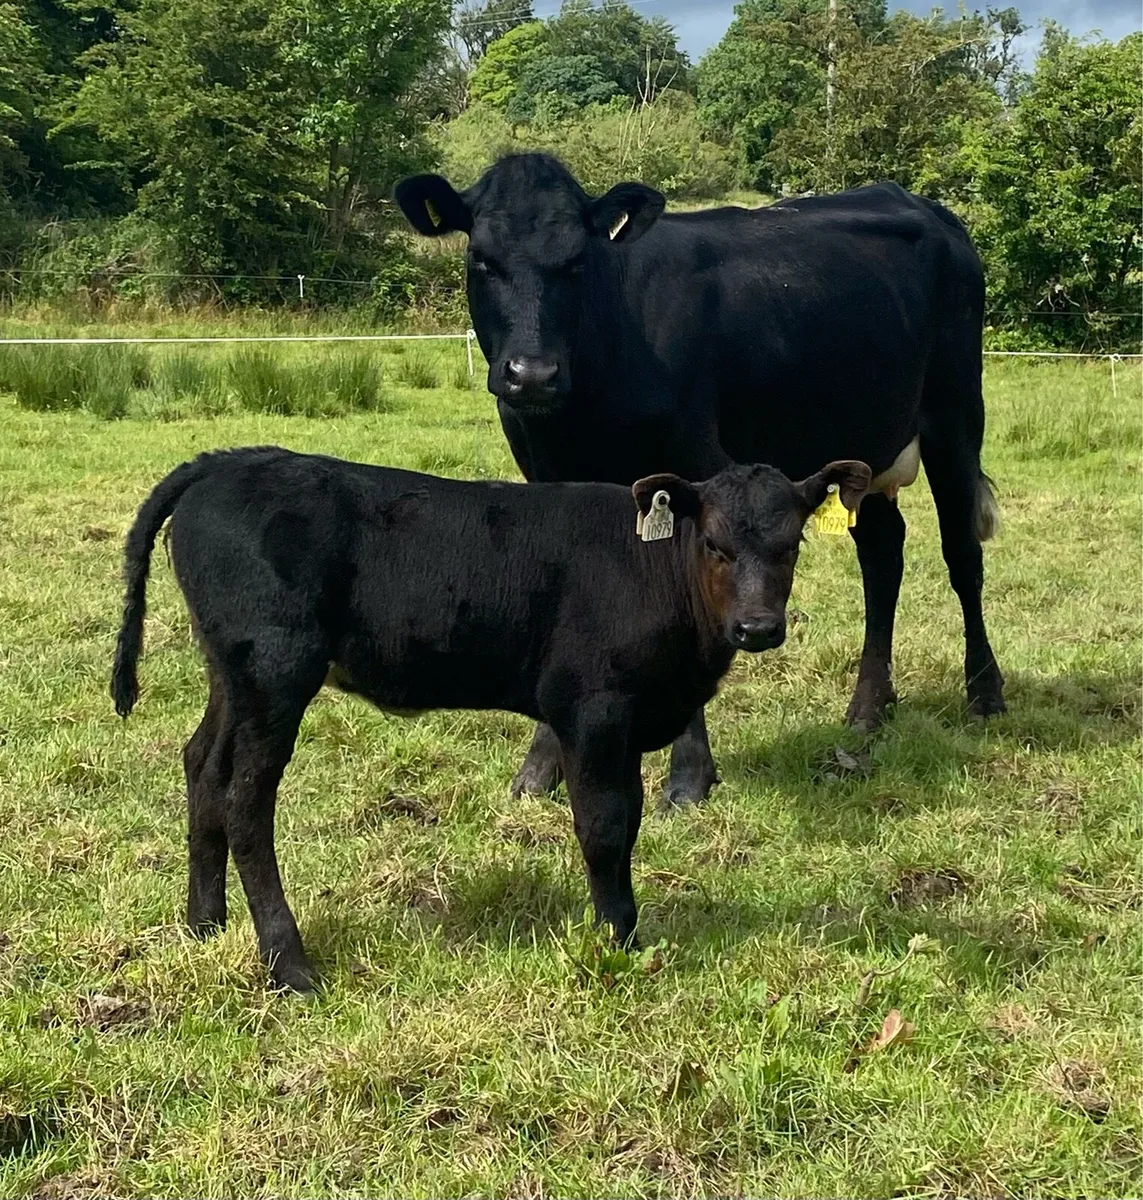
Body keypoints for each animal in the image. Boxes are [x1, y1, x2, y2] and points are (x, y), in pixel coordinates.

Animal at [111, 445, 870, 991]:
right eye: (714, 543)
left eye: (792, 544)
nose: (757, 627)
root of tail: (224, 461)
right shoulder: (590, 709)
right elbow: (603, 828)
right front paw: (616, 944)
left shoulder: (625, 723)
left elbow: (628, 823)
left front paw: (624, 930)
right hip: (276, 669)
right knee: (246, 801)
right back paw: (287, 964)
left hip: (233, 675)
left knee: (203, 768)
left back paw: (204, 926)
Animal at [394, 153, 1005, 807]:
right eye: (481, 258)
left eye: (578, 260)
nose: (531, 374)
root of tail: (924, 207)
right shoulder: (543, 472)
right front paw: (540, 768)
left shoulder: (695, 465)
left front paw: (688, 776)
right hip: (865, 446)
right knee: (882, 556)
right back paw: (869, 707)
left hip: (956, 414)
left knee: (962, 556)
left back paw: (984, 694)